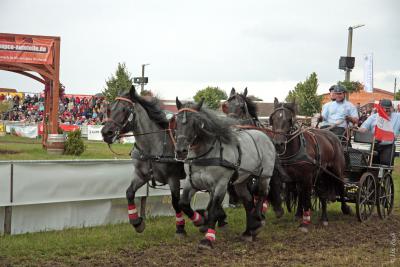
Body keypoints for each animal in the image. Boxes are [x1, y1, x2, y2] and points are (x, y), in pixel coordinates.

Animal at [100, 86, 188, 237]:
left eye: (125, 109)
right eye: (109, 109)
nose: (106, 133)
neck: (155, 146)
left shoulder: (173, 178)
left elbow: (176, 202)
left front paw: (180, 227)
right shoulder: (142, 175)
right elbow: (129, 193)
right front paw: (137, 222)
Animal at [175, 98, 278, 251]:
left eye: (195, 122)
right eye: (175, 120)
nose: (180, 151)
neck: (206, 154)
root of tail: (265, 135)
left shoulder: (221, 184)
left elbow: (213, 209)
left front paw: (208, 239)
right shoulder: (192, 182)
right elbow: (183, 204)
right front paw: (199, 220)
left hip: (264, 175)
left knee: (262, 193)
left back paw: (257, 220)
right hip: (241, 181)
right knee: (248, 200)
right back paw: (248, 231)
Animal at [268, 98, 350, 232]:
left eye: (289, 120)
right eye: (273, 118)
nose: (278, 144)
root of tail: (334, 137)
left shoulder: (307, 177)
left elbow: (306, 197)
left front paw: (305, 222)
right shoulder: (293, 177)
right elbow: (299, 194)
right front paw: (297, 214)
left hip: (336, 170)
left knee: (341, 185)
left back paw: (345, 208)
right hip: (321, 174)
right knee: (322, 194)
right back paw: (324, 218)